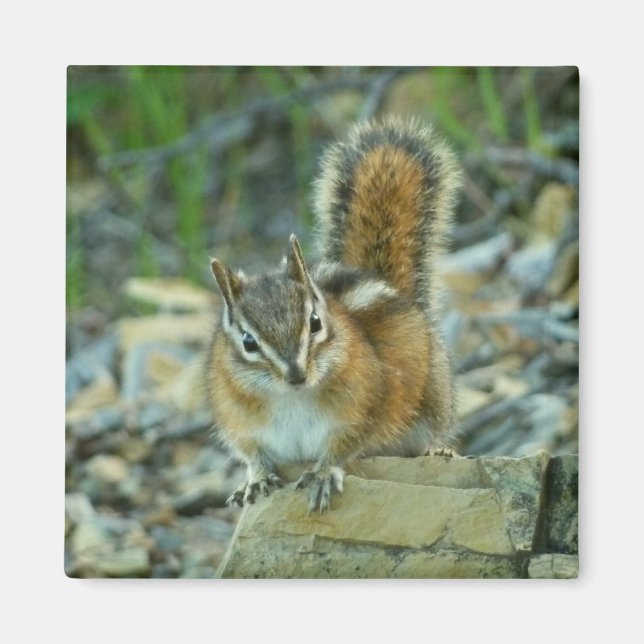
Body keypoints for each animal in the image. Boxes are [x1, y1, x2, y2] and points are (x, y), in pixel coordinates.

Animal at [207, 117, 461, 513]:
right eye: (248, 341)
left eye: (314, 323)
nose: (296, 375)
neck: (291, 399)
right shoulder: (240, 422)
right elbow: (252, 454)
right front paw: (256, 479)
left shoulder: (362, 409)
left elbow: (344, 446)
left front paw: (324, 473)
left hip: (434, 398)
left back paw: (438, 450)